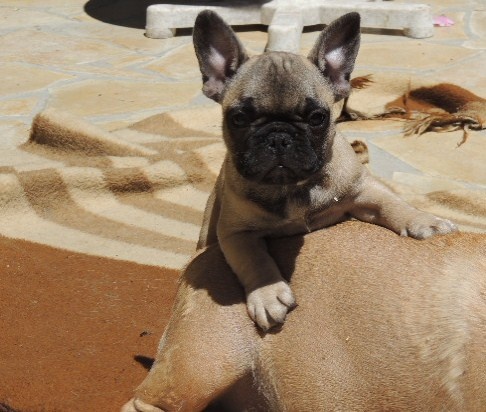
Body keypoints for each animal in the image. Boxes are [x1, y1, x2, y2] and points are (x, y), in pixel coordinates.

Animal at [193, 10, 456, 332]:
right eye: (239, 118)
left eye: (318, 117)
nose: (278, 137)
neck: (292, 187)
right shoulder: (235, 233)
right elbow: (254, 259)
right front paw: (267, 294)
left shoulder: (362, 193)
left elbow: (392, 203)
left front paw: (423, 220)